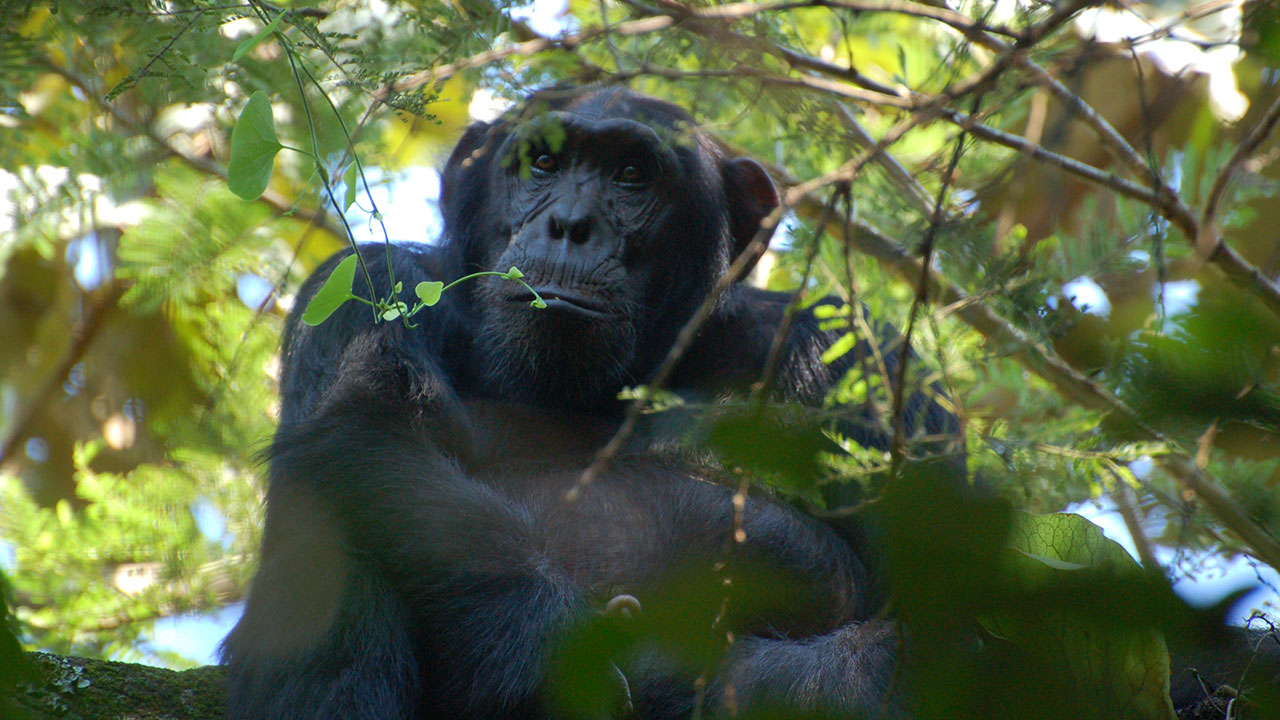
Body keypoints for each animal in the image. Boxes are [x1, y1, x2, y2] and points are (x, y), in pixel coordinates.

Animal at [220, 87, 957, 712]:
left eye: (631, 174)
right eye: (542, 162)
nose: (569, 223)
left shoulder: (859, 359)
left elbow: (940, 618)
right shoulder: (364, 283)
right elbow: (372, 430)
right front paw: (561, 659)